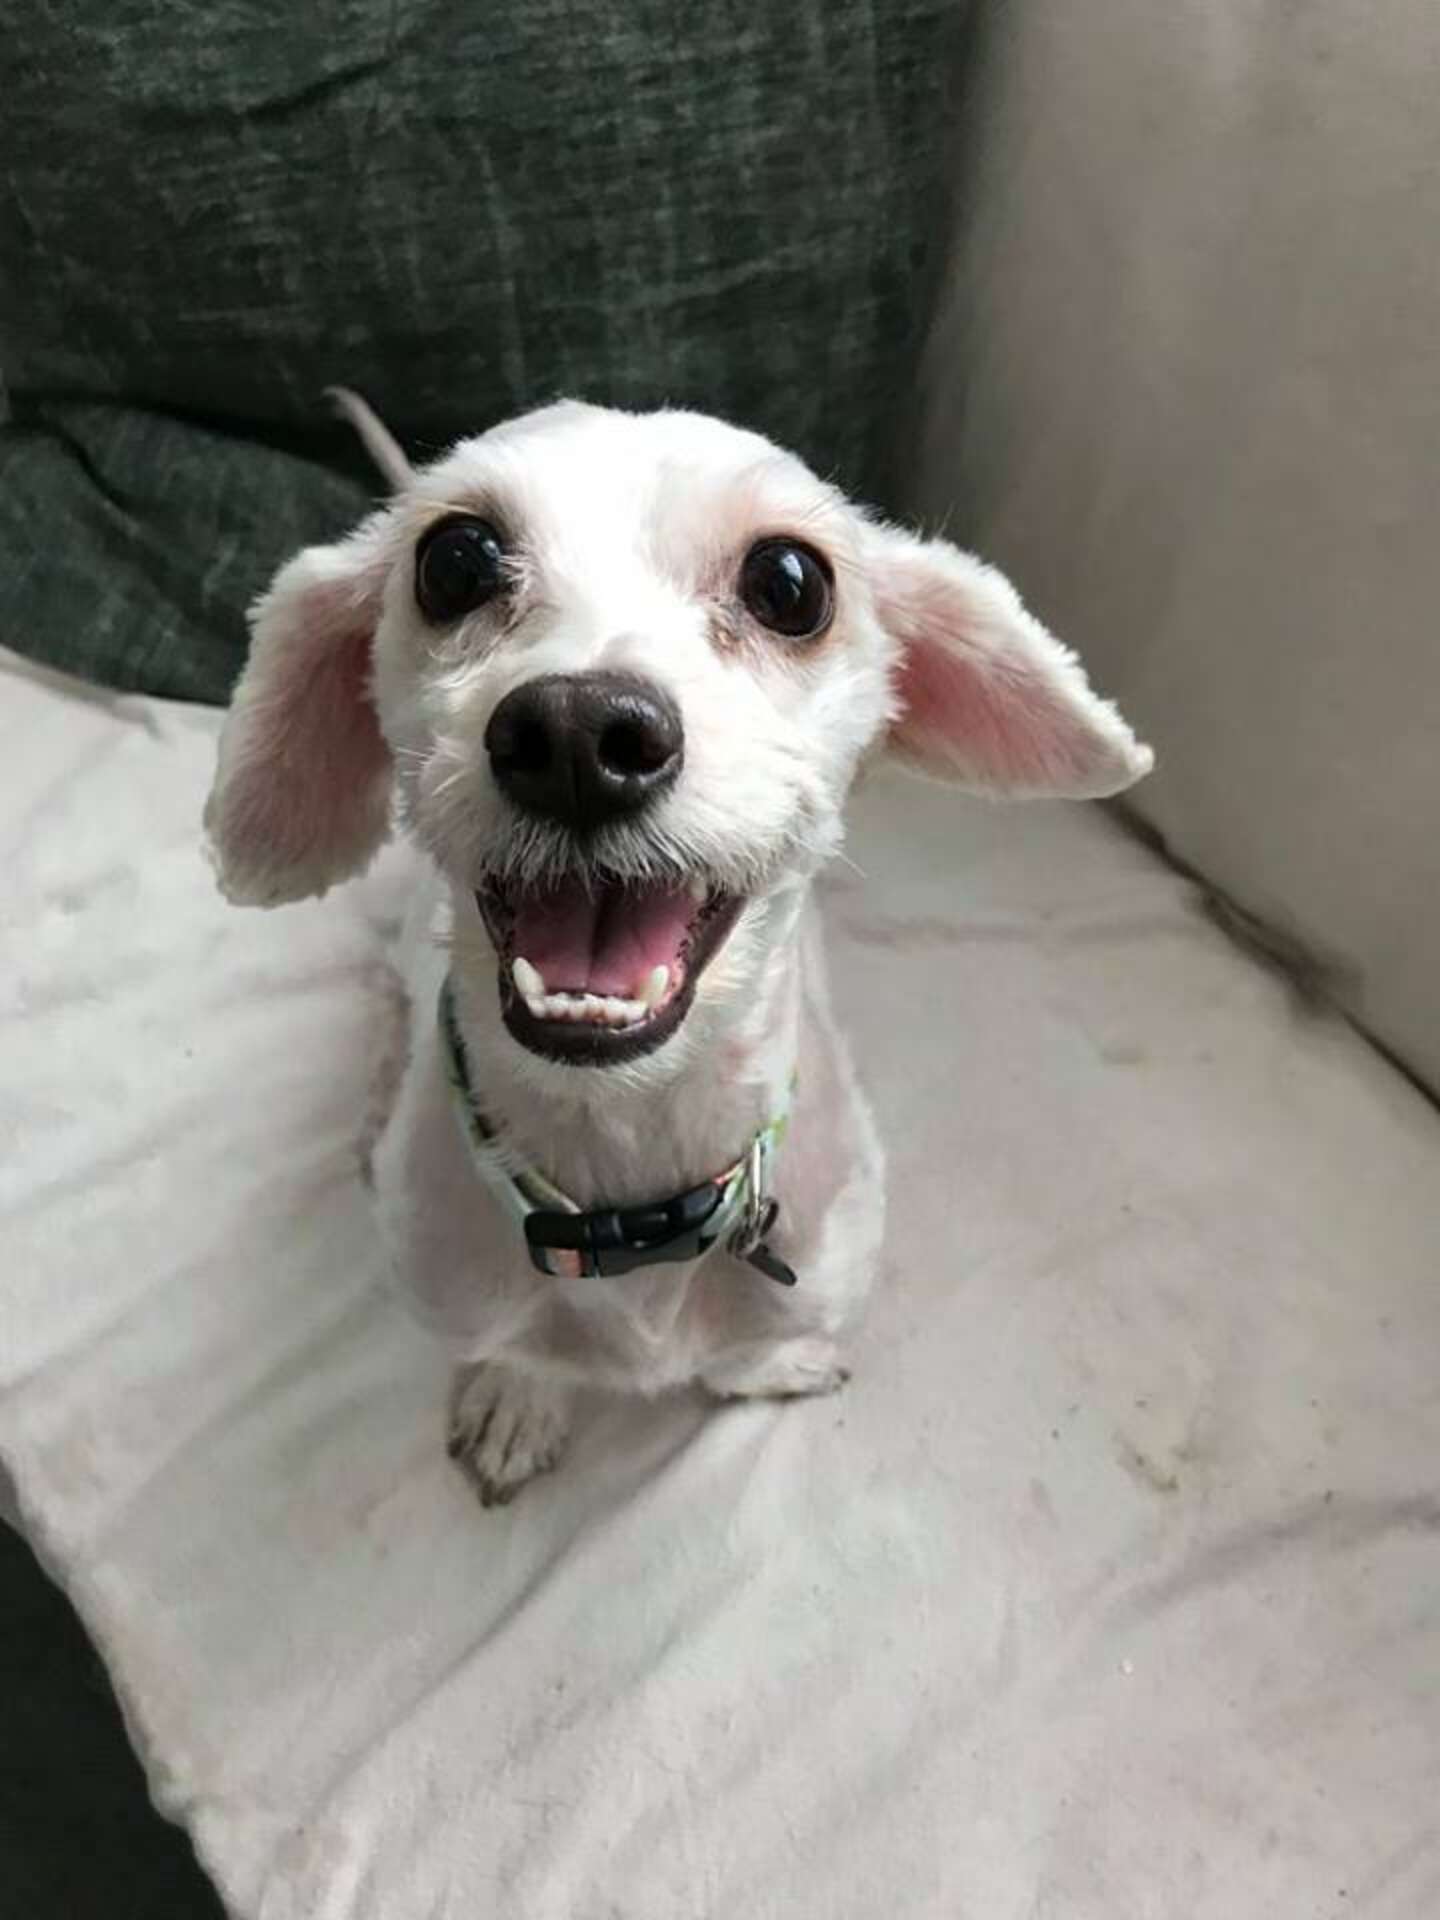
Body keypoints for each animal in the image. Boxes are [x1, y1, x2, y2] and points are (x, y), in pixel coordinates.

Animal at [203, 397, 1159, 1505]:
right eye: (455, 561)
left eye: (790, 583)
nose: (577, 735)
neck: (627, 1177)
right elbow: (518, 1349)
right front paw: (520, 1396)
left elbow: (748, 1348)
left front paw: (767, 1366)